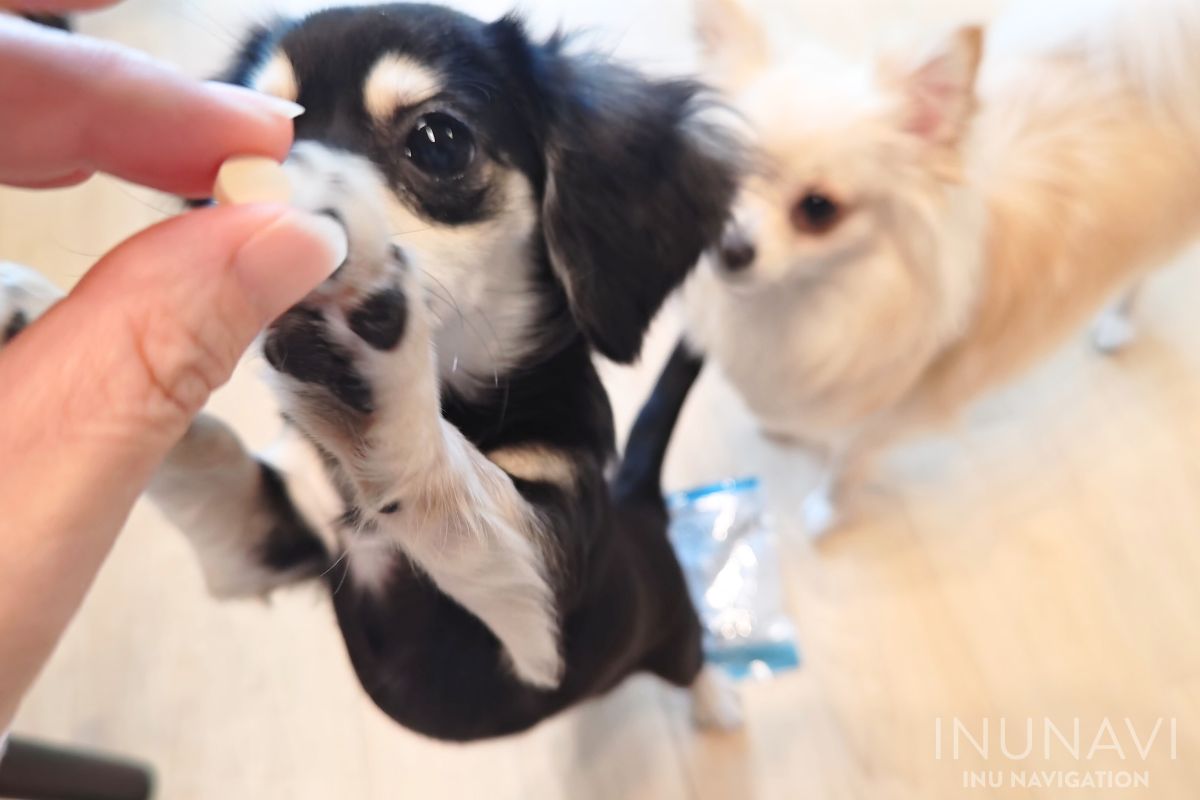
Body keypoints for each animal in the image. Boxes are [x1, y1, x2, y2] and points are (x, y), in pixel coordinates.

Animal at [686, 1, 1200, 537]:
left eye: (817, 208)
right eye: (718, 177)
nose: (730, 249)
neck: (803, 298)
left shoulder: (882, 420)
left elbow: (845, 466)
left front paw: (826, 512)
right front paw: (782, 427)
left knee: (1139, 279)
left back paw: (1117, 322)